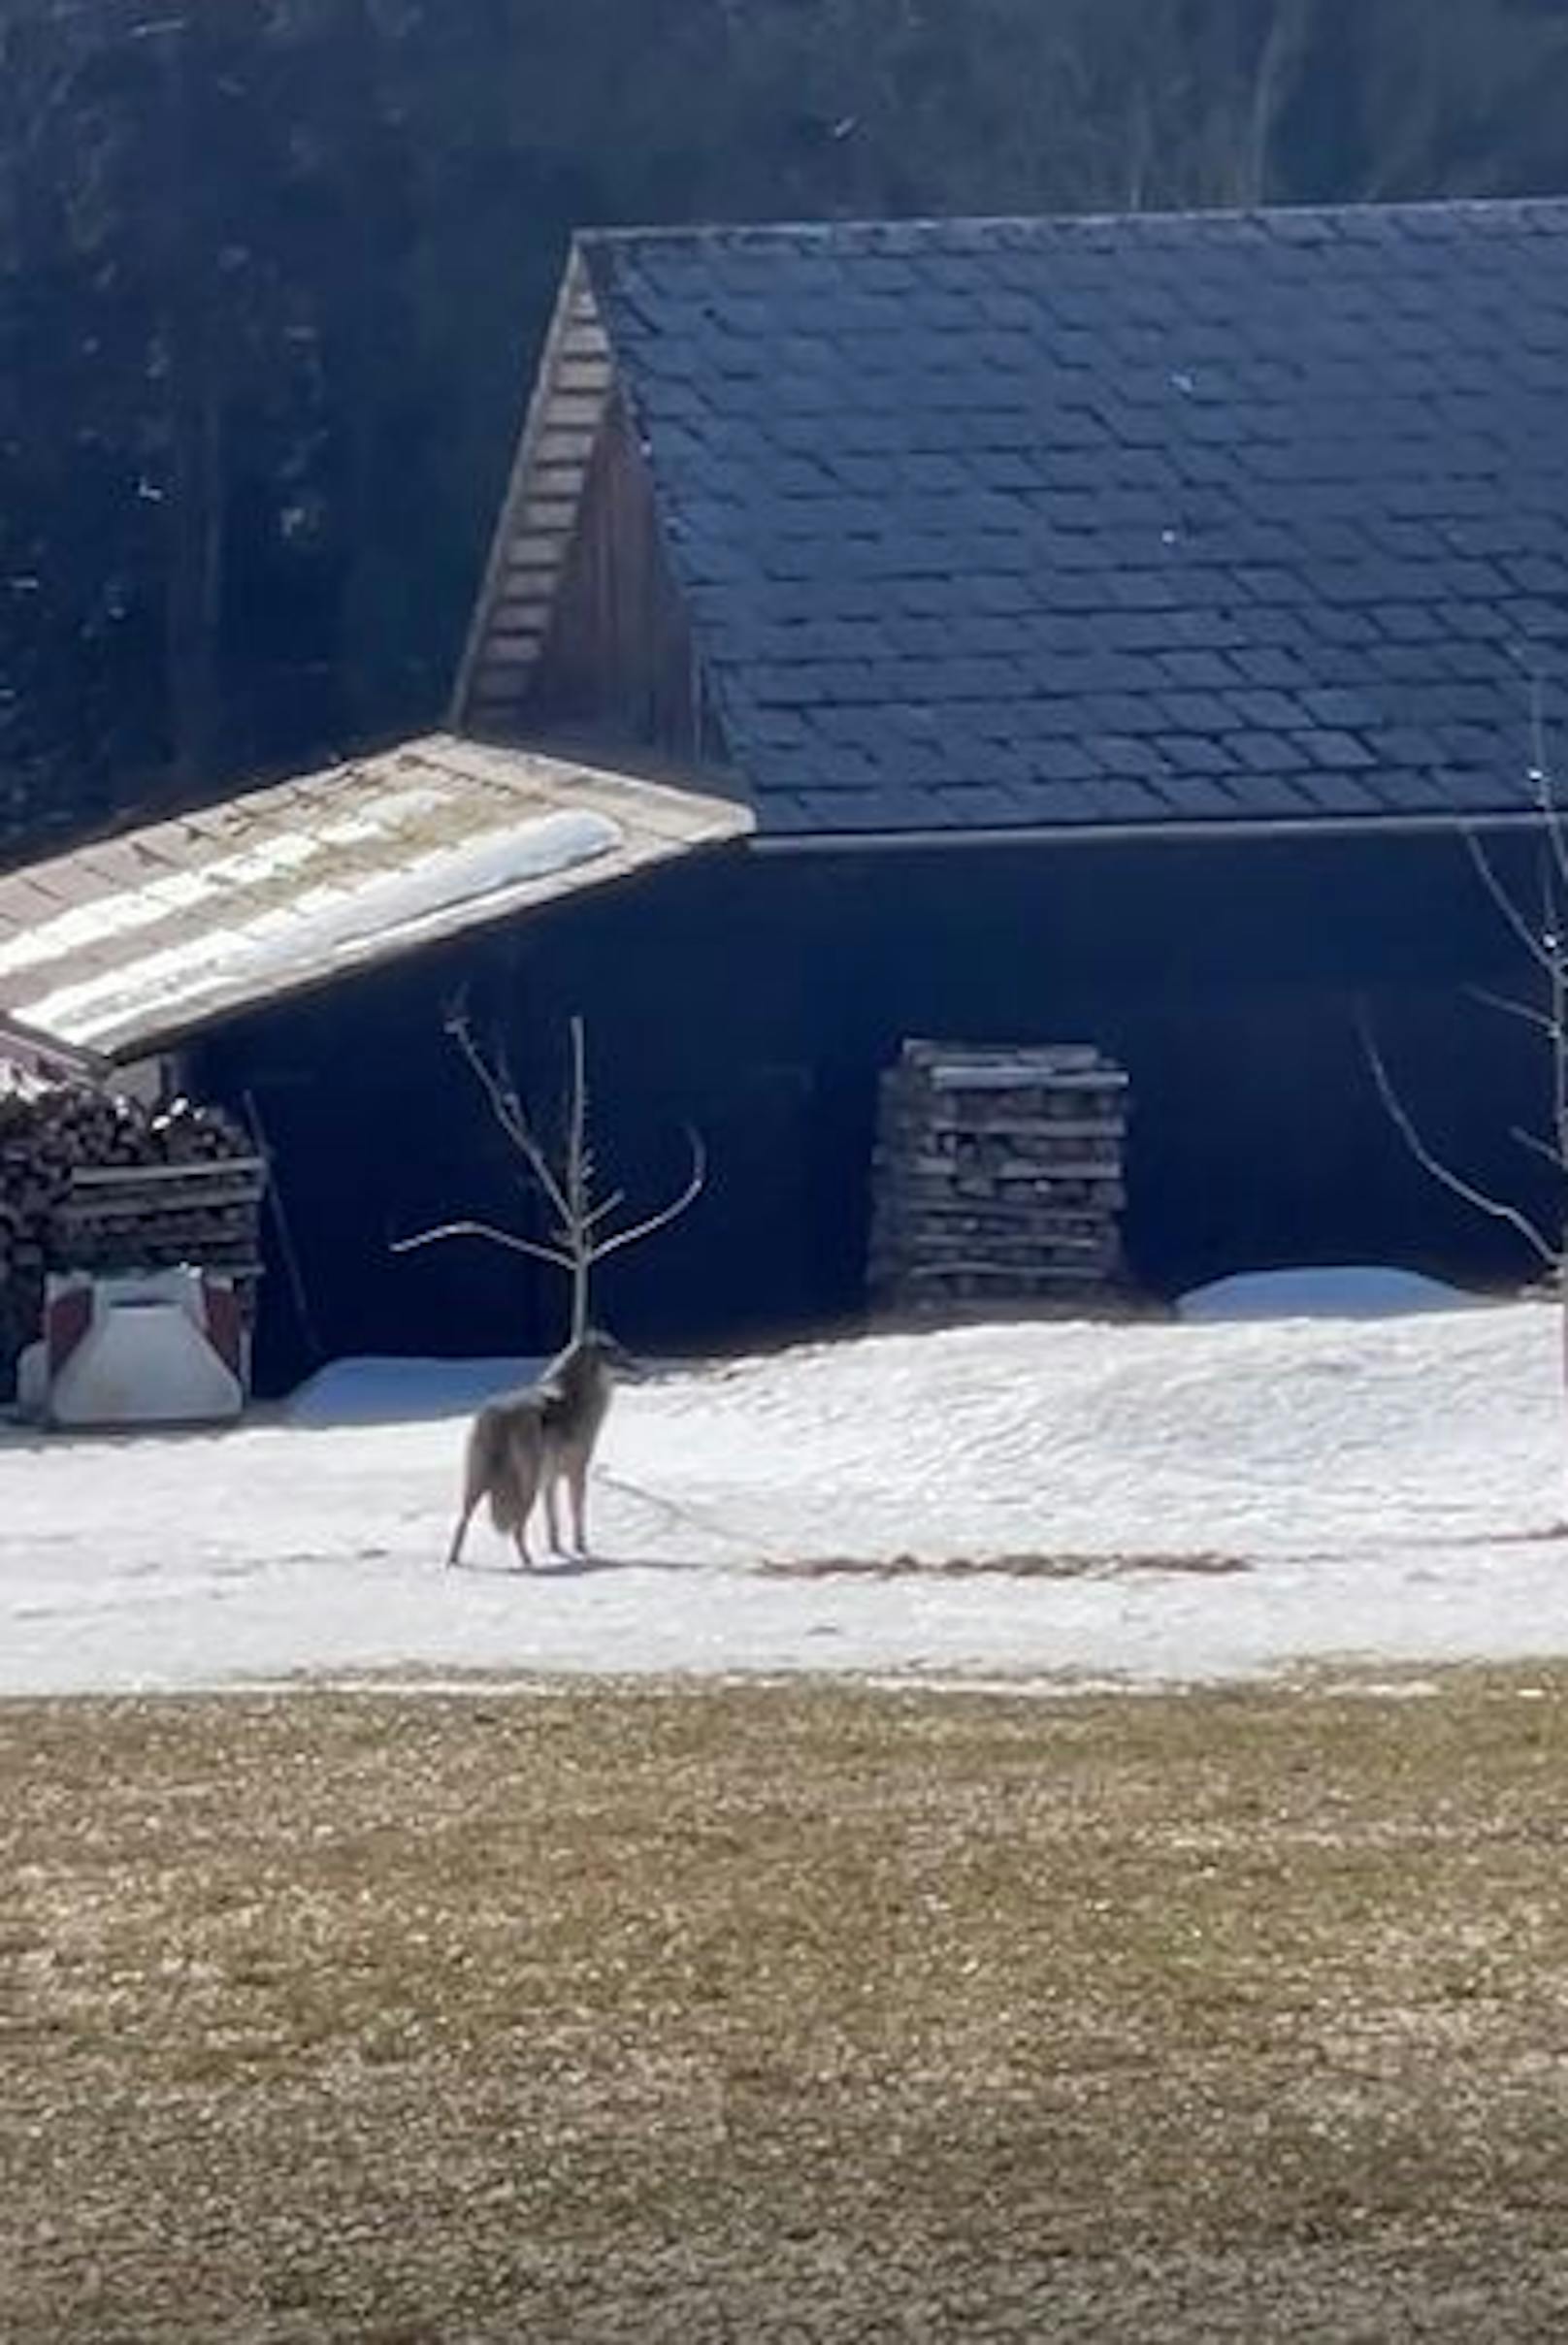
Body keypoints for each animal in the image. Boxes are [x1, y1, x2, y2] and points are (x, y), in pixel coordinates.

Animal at [442, 1331, 628, 1566]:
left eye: (622, 1351)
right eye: (616, 1352)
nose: (639, 1365)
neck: (573, 1396)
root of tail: (497, 1415)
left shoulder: (550, 1481)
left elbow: (553, 1521)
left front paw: (557, 1550)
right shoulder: (577, 1474)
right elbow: (577, 1514)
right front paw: (581, 1549)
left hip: (476, 1485)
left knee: (462, 1521)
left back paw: (453, 1562)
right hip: (527, 1486)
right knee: (517, 1529)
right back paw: (528, 1562)